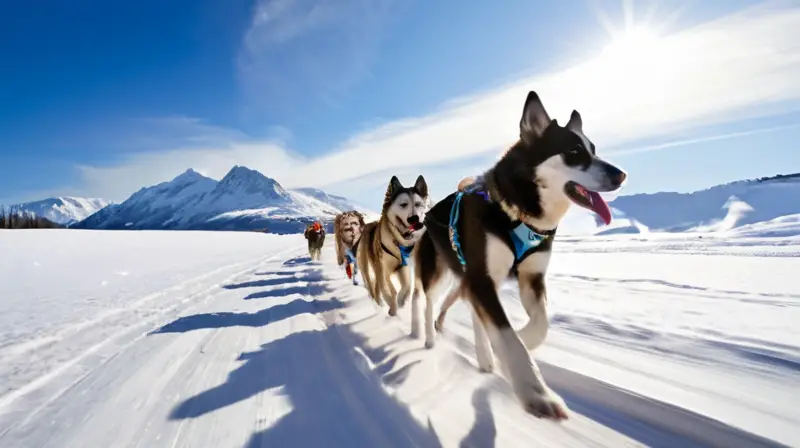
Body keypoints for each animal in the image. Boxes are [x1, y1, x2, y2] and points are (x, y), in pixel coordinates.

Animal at [356, 175, 432, 316]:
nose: (414, 218)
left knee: (377, 285)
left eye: (418, 204)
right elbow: (390, 289)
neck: (398, 243)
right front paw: (392, 307)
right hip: (367, 266)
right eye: (403, 204)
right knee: (371, 283)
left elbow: (407, 287)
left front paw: (401, 301)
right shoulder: (383, 268)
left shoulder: (403, 267)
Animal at [410, 90, 628, 420]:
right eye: (574, 150)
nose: (621, 175)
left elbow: (539, 326)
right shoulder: (482, 278)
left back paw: (485, 354)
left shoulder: (531, 278)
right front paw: (536, 391)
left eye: (594, 149)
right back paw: (431, 339)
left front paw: (515, 342)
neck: (518, 213)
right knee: (429, 305)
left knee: (473, 311)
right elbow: (507, 335)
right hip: (439, 275)